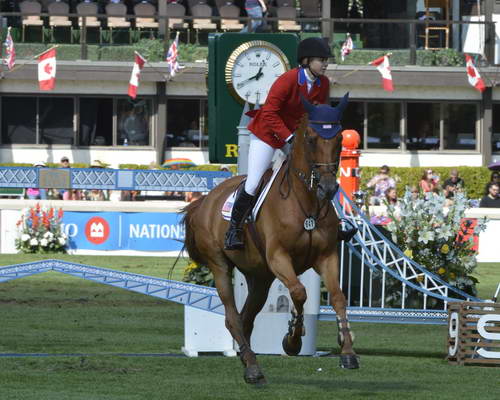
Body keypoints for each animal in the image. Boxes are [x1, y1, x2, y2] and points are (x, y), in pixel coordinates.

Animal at [182, 114, 358, 382]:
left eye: (339, 139)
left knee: (246, 318)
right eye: (311, 139)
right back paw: (253, 368)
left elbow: (338, 296)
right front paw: (292, 341)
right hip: (220, 266)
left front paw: (347, 351)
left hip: (260, 278)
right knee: (233, 317)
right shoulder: (279, 257)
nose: (328, 188)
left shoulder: (327, 256)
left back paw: (247, 359)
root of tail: (205, 200)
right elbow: (299, 293)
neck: (306, 204)